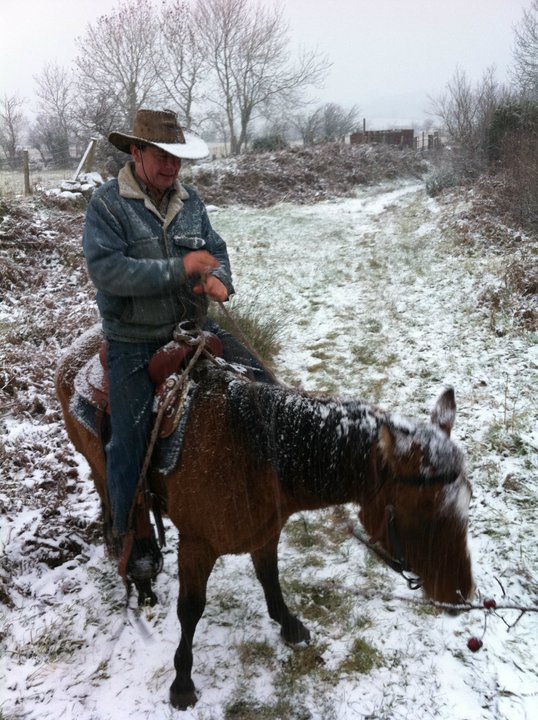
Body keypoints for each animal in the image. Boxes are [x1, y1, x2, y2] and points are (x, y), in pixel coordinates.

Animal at [56, 330, 472, 712]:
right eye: (422, 512)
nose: (459, 598)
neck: (253, 454)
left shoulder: (266, 531)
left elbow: (270, 579)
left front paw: (289, 625)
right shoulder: (196, 546)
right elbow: (190, 610)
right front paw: (182, 683)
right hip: (104, 467)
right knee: (124, 509)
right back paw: (140, 574)